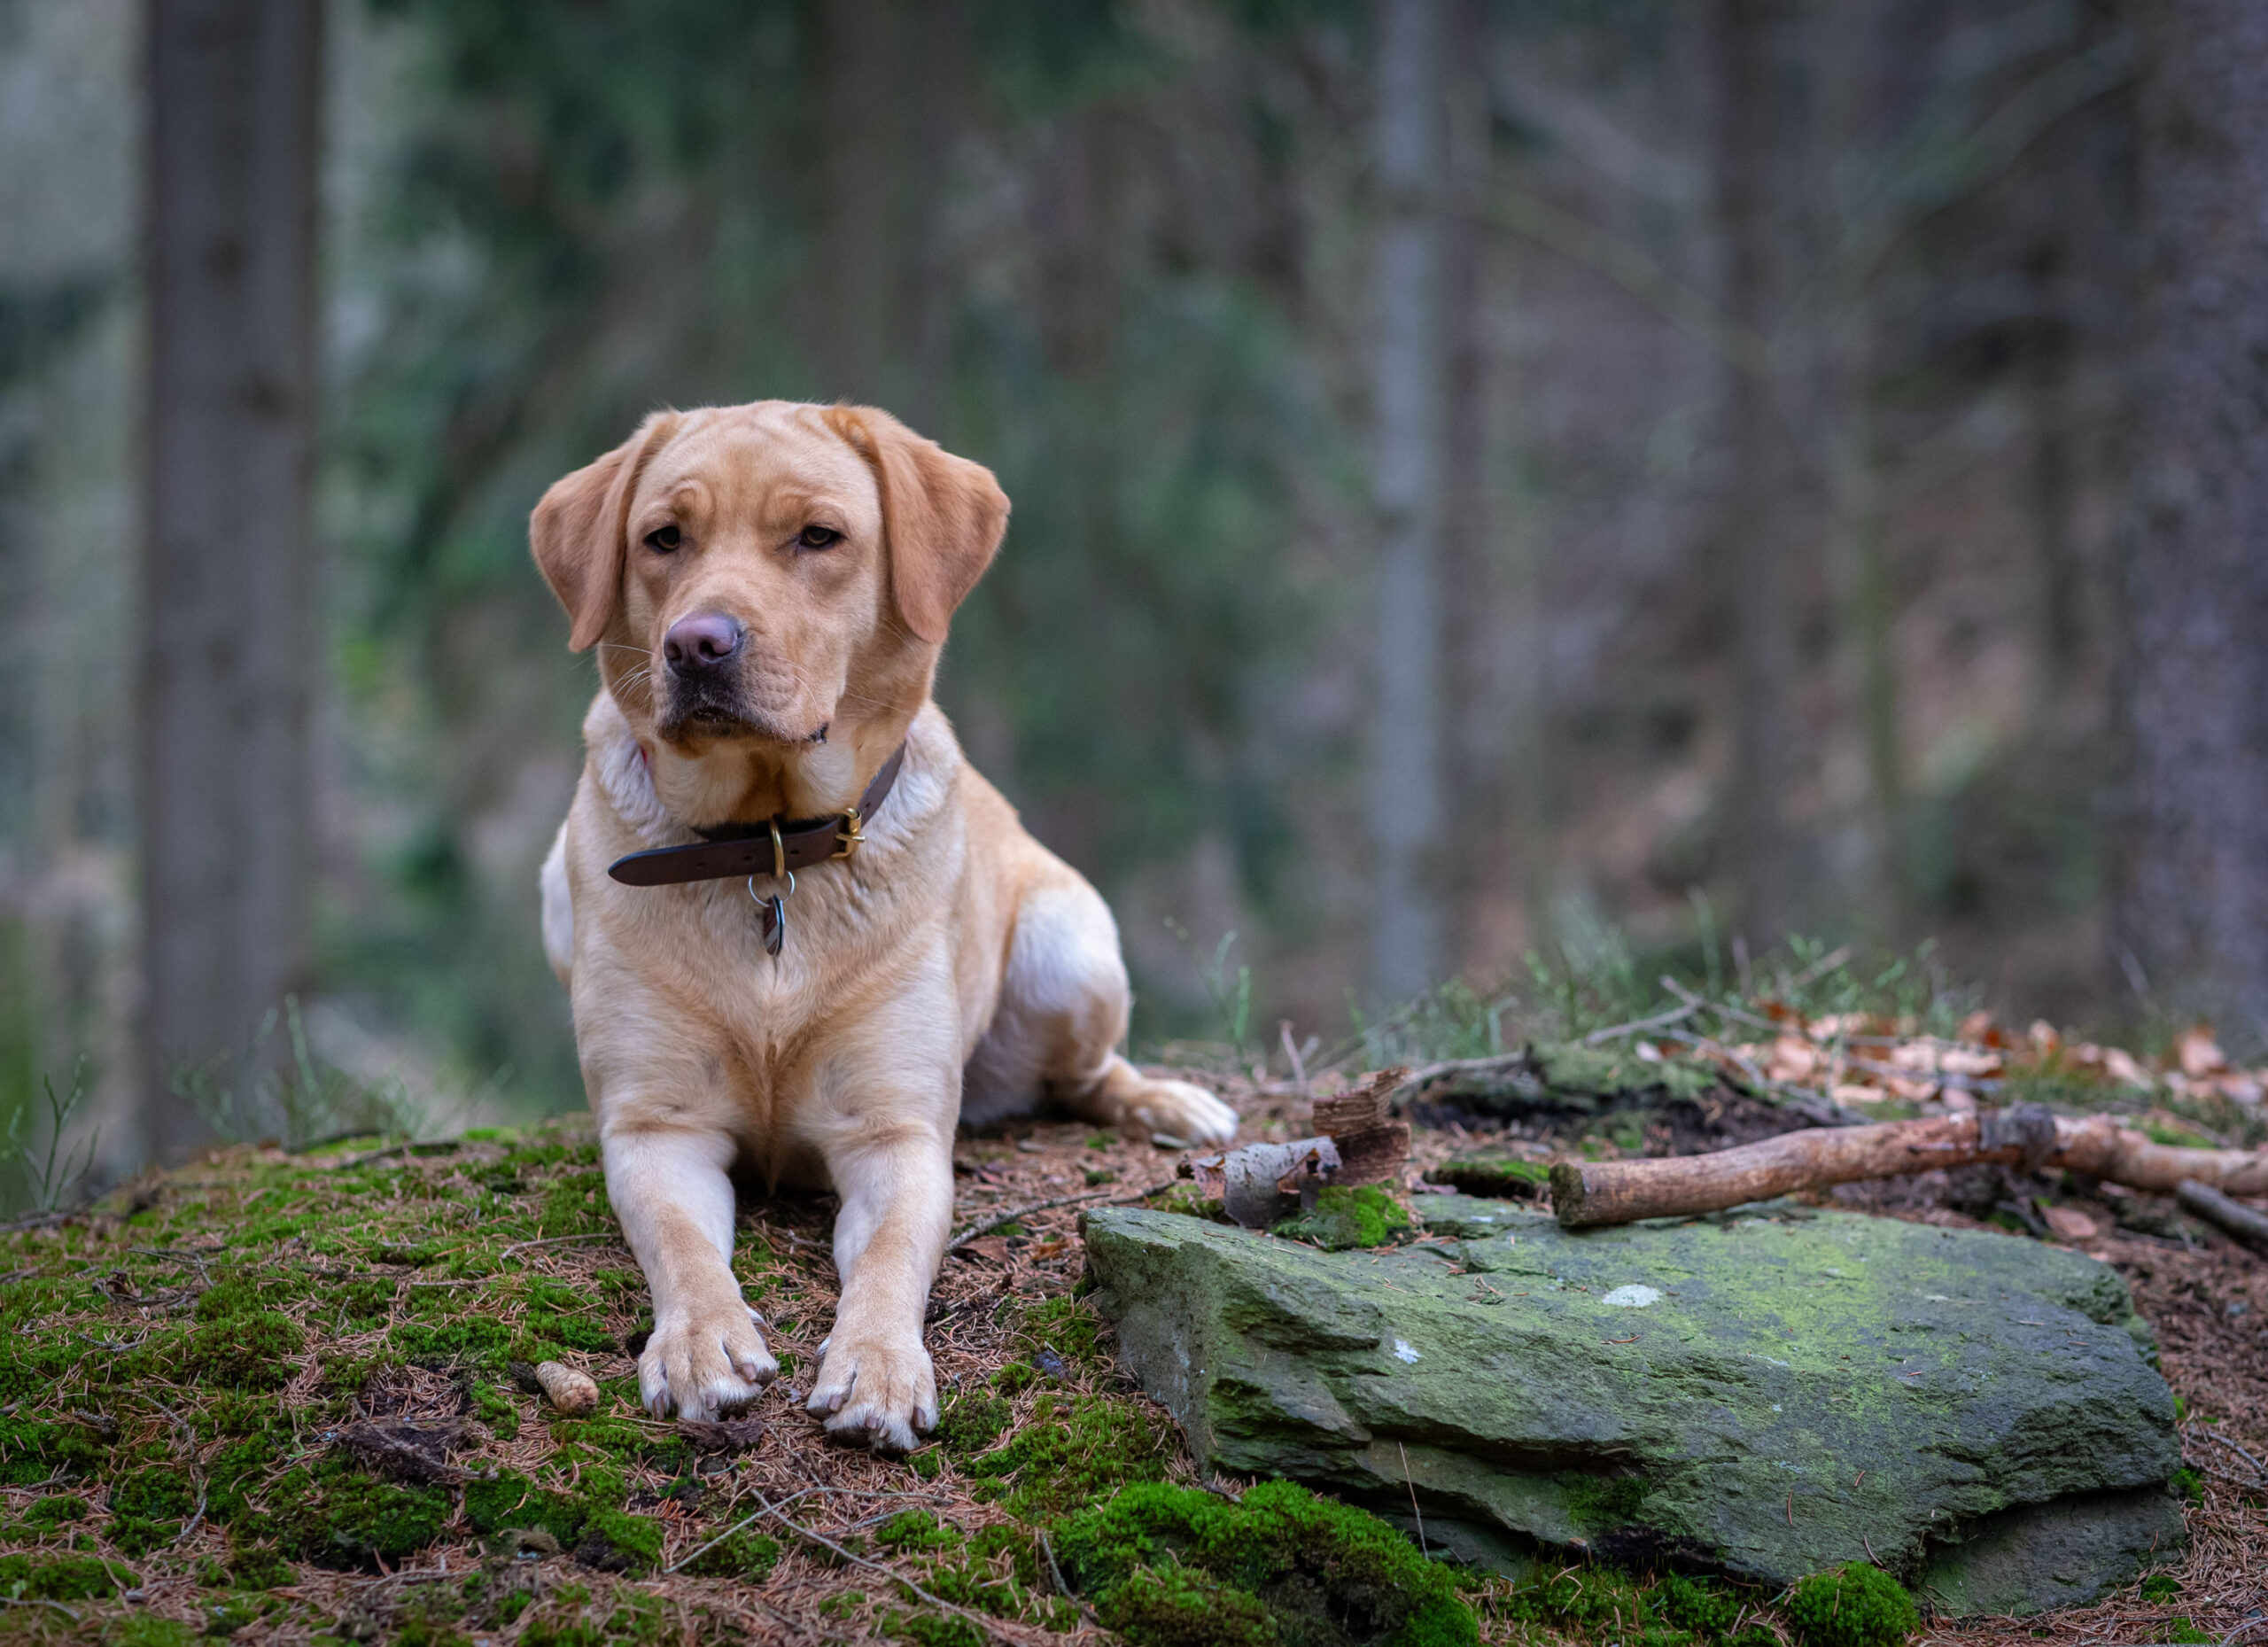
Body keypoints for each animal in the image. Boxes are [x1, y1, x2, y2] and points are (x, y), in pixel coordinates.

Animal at [531, 406, 1242, 1451]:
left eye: (817, 536)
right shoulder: (657, 1124)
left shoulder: (895, 1136)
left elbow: (892, 1254)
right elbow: (683, 1243)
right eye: (663, 538)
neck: (768, 849)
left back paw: (1167, 1103)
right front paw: (701, 1340)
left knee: (1087, 1074)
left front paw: (876, 1364)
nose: (696, 644)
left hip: (1069, 948)